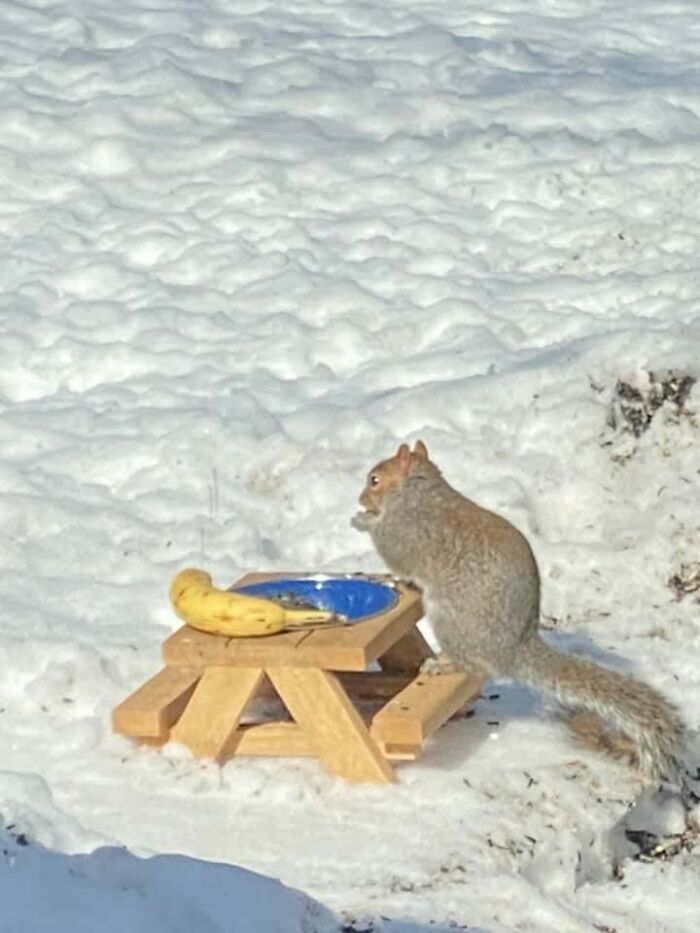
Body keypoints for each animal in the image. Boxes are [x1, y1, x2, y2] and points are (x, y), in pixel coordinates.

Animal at [352, 440, 684, 784]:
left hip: (449, 619)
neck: (417, 493)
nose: (360, 499)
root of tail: (515, 649)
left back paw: (443, 664)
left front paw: (363, 522)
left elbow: (393, 551)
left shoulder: (406, 531)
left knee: (473, 663)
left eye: (375, 480)